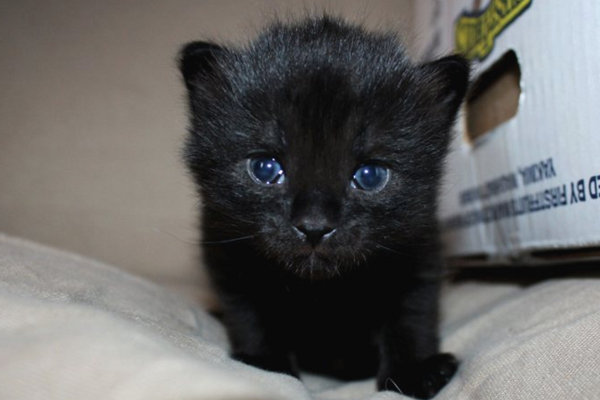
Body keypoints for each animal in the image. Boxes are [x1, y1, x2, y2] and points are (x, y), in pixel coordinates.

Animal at [178, 16, 468, 400]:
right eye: (265, 168)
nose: (314, 225)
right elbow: (250, 316)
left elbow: (411, 316)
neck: (322, 292)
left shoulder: (419, 254)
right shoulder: (227, 259)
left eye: (371, 175)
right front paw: (266, 365)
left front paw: (413, 373)